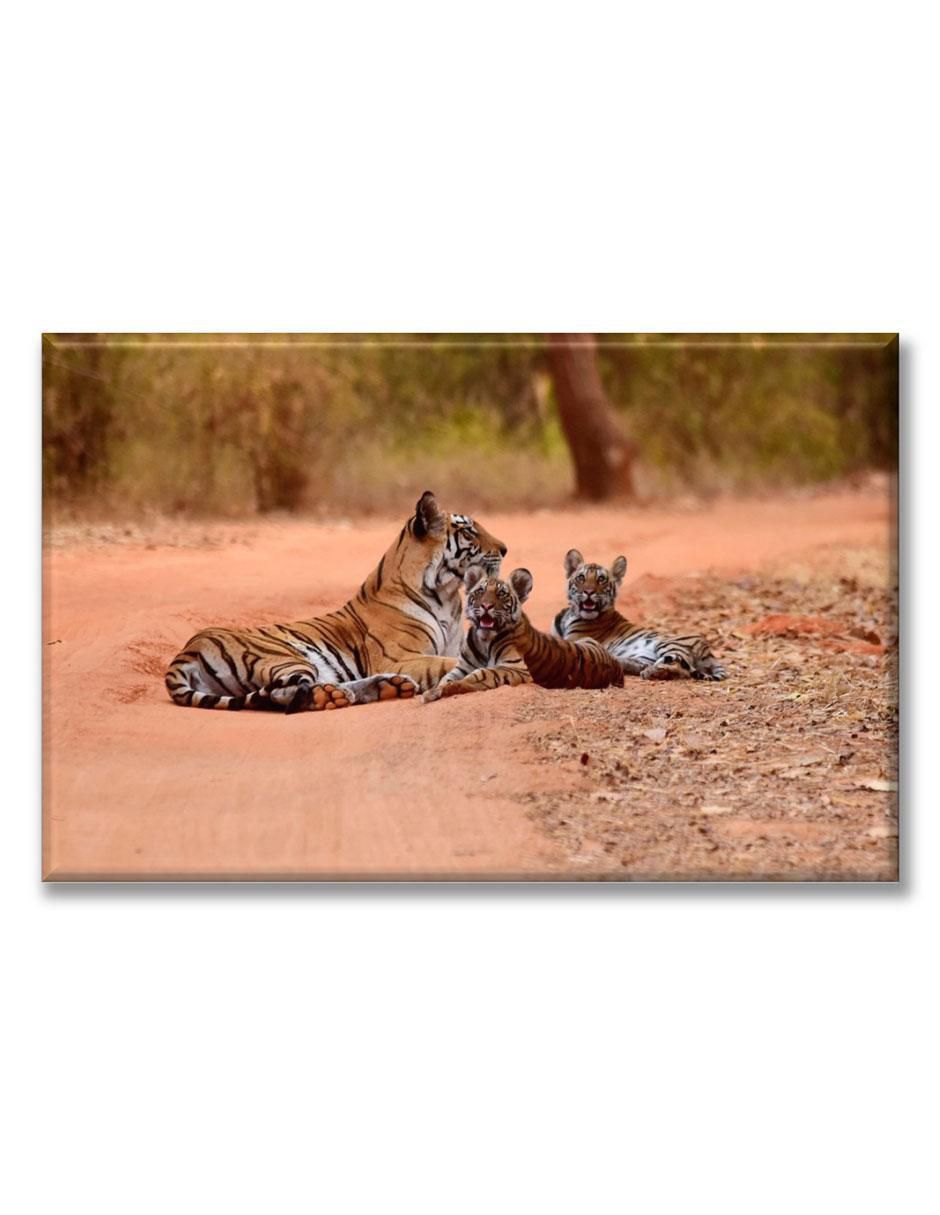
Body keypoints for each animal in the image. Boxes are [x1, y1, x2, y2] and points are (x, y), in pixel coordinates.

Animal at [164, 491, 507, 713]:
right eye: (469, 531)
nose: (505, 549)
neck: (447, 595)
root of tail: (186, 650)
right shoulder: (399, 657)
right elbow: (448, 664)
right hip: (284, 656)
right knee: (287, 693)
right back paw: (338, 696)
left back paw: (388, 687)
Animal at [423, 565, 623, 701]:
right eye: (480, 591)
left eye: (501, 594)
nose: (486, 605)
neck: (484, 640)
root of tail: (616, 666)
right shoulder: (463, 666)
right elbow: (447, 677)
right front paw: (437, 689)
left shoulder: (516, 668)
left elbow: (482, 673)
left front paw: (438, 691)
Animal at [552, 549, 727, 681]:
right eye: (581, 577)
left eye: (601, 579)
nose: (588, 592)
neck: (570, 614)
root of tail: (708, 650)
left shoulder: (574, 640)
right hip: (645, 655)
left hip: (668, 644)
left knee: (680, 668)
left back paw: (652, 672)